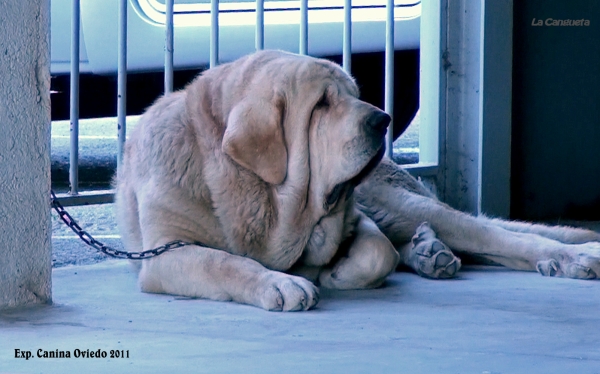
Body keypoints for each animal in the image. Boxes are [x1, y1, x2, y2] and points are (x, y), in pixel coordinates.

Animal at [116, 50, 600, 312]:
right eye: (322, 104)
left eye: (354, 93)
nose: (382, 120)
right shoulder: (167, 252)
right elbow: (224, 262)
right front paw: (278, 282)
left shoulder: (358, 217)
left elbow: (376, 252)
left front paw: (336, 272)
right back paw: (430, 253)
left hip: (399, 202)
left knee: (499, 238)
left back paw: (572, 257)